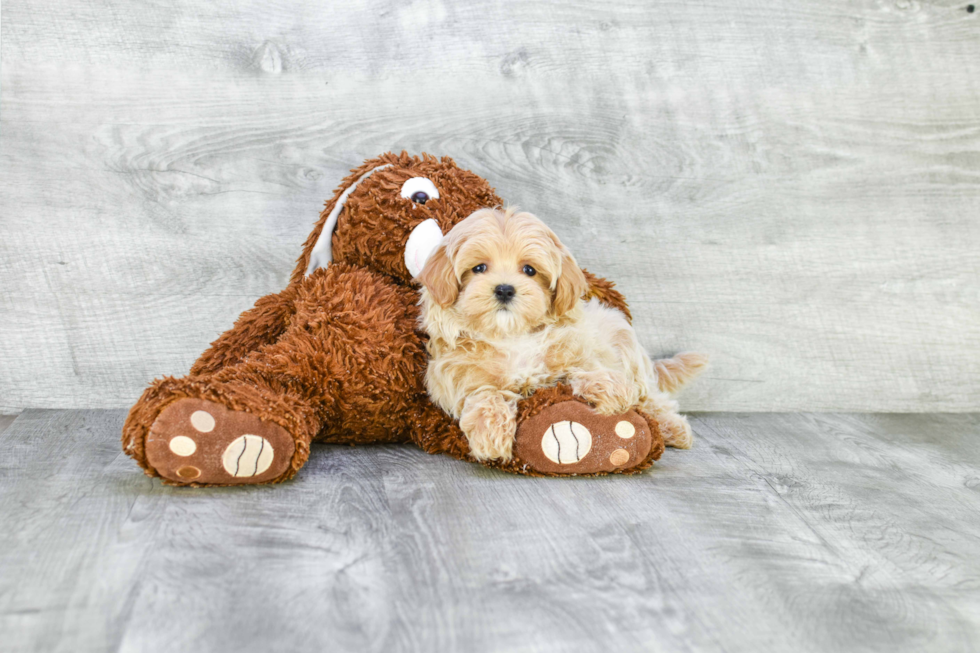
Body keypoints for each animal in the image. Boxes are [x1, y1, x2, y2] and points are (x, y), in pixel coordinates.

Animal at [416, 206, 704, 460]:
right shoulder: (457, 378)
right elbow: (485, 395)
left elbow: (583, 369)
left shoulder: (577, 350)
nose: (505, 289)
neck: (512, 336)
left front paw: (610, 387)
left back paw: (673, 428)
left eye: (529, 270)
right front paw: (491, 434)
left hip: (626, 342)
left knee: (653, 399)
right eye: (478, 268)